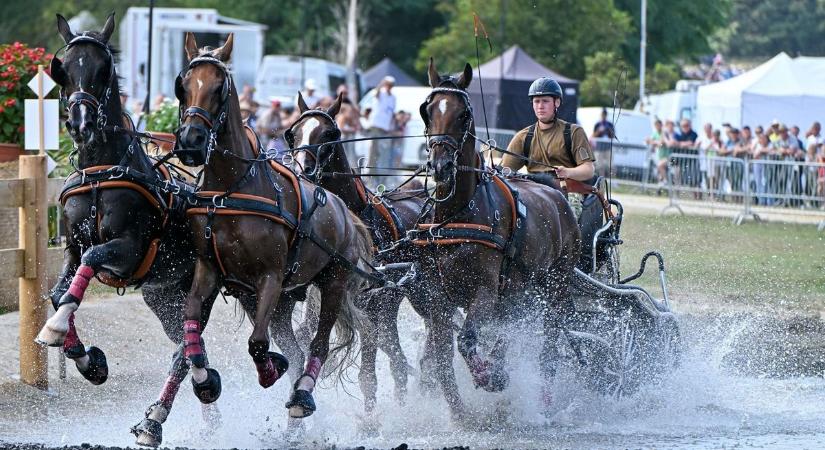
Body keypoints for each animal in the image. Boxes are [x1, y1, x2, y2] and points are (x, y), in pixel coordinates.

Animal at [36, 13, 225, 446]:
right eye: (63, 69)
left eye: (103, 70)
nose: (81, 123)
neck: (100, 172)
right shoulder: (70, 248)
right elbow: (59, 293)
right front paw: (88, 361)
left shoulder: (128, 249)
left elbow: (92, 259)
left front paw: (56, 329)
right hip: (165, 299)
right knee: (189, 347)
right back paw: (207, 409)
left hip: (200, 290)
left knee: (184, 353)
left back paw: (160, 418)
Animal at [177, 34, 374, 422]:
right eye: (184, 85)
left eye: (219, 87)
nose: (191, 140)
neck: (232, 191)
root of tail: (346, 212)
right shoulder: (209, 269)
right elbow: (191, 320)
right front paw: (204, 381)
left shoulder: (270, 276)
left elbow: (257, 342)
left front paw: (271, 368)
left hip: (332, 281)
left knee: (317, 344)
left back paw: (302, 395)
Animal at [286, 93, 432, 416]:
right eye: (293, 134)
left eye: (330, 134)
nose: (302, 171)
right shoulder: (320, 298)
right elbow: (304, 336)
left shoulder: (368, 307)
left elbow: (367, 375)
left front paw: (368, 420)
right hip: (390, 306)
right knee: (398, 358)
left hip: (416, 297)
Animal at [412, 59, 580, 418]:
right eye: (427, 110)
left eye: (464, 113)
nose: (440, 165)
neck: (458, 214)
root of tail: (556, 193)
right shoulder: (438, 298)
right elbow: (442, 355)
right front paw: (458, 412)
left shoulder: (486, 291)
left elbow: (466, 340)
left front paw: (489, 376)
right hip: (519, 292)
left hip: (556, 288)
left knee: (548, 343)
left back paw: (541, 397)